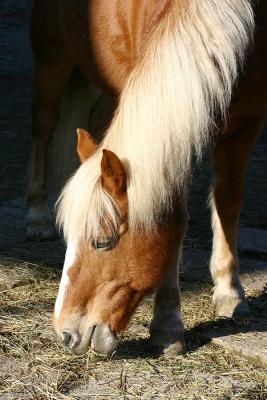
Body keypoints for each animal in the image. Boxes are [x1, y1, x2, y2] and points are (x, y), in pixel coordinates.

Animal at [28, 0, 266, 356]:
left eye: (102, 241)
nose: (65, 334)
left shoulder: (246, 123)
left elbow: (228, 201)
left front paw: (229, 291)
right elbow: (173, 220)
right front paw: (167, 325)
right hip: (52, 56)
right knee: (43, 126)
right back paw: (35, 213)